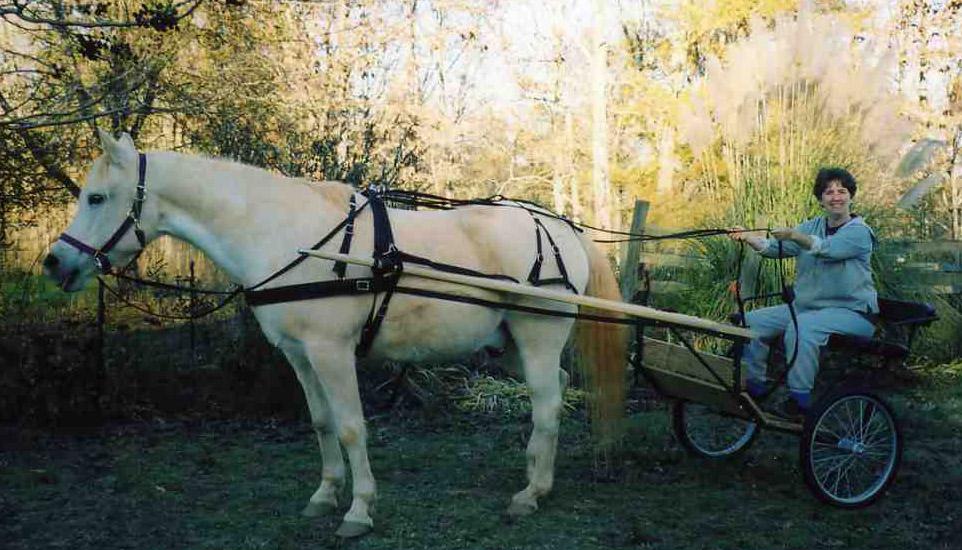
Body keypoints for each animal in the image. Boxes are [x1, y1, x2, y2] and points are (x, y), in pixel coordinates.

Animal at [43, 130, 628, 538]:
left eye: (96, 198)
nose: (55, 263)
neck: (287, 237)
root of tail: (559, 225)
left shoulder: (332, 353)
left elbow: (350, 428)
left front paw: (360, 510)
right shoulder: (299, 356)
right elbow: (322, 423)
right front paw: (326, 495)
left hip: (538, 337)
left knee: (547, 405)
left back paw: (532, 492)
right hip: (509, 345)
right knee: (554, 392)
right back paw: (537, 479)